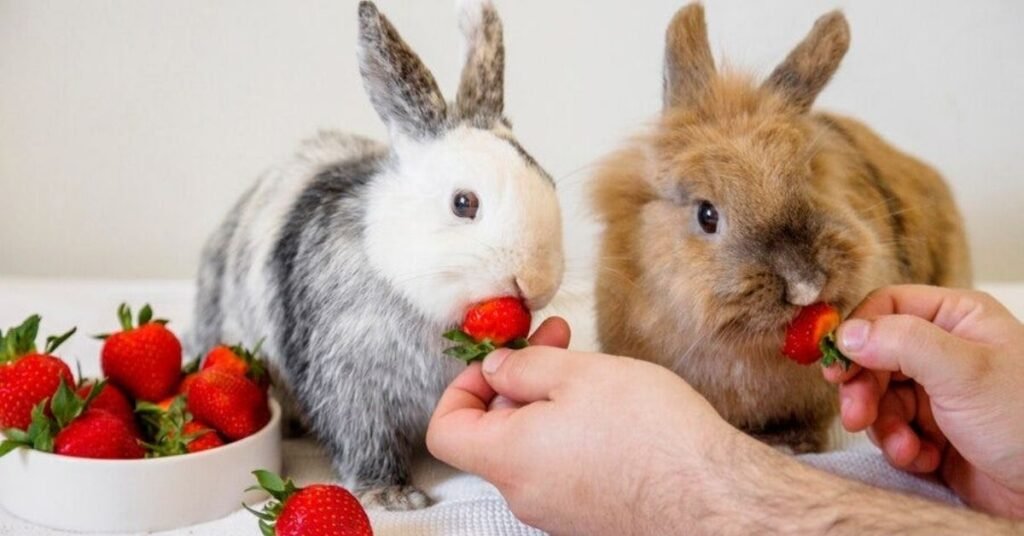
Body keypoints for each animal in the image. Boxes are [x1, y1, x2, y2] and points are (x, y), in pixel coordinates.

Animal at [190, 0, 563, 510]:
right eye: (463, 203)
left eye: (549, 180)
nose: (534, 281)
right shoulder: (352, 386)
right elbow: (364, 439)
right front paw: (390, 496)